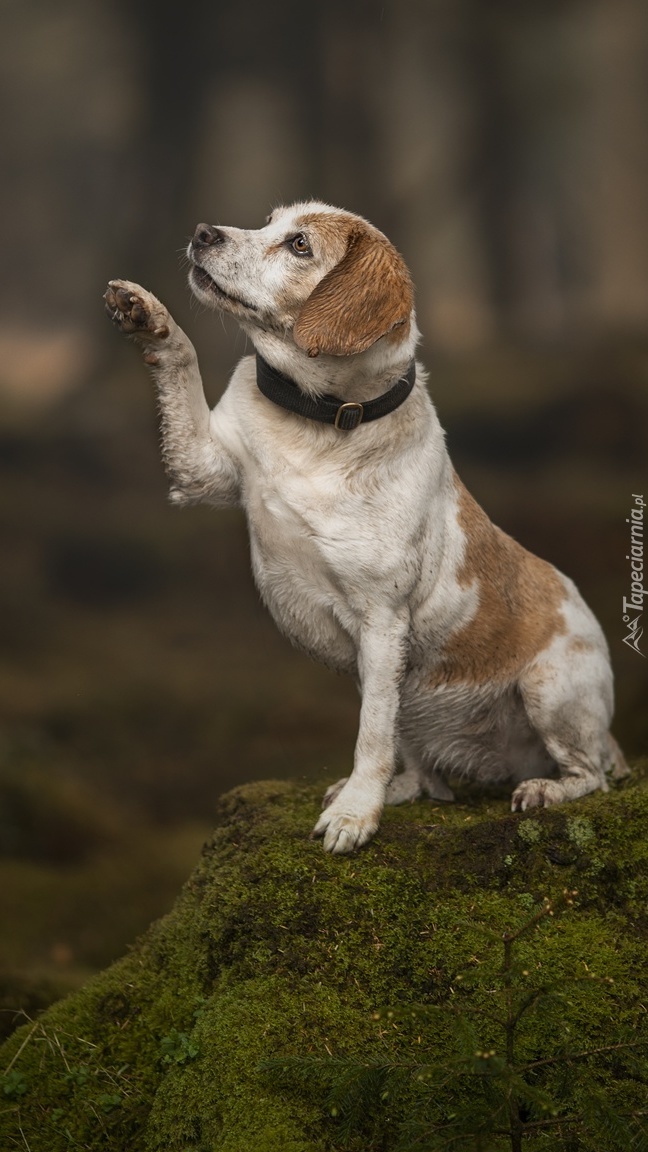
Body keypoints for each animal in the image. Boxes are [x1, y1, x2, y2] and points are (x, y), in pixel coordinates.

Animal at [103, 202, 622, 857]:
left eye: (299, 246)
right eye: (269, 222)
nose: (203, 233)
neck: (326, 420)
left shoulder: (380, 623)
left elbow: (369, 737)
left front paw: (354, 816)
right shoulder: (202, 466)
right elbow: (181, 359)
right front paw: (148, 315)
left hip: (549, 688)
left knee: (590, 774)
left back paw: (544, 790)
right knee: (428, 780)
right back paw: (403, 788)